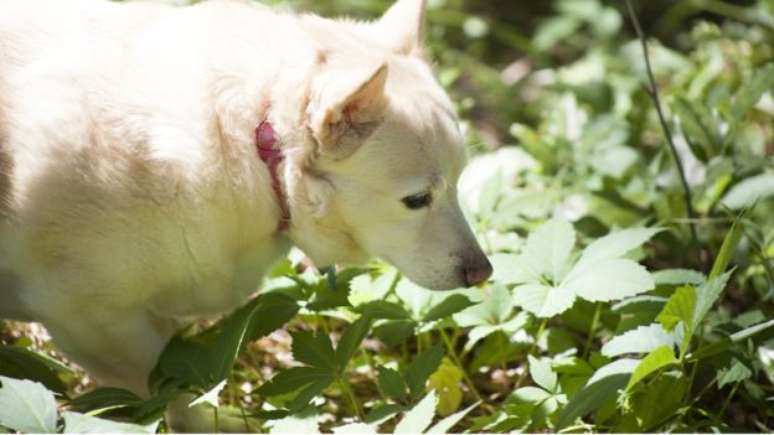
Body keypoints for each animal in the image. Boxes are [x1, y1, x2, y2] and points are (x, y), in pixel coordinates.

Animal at [0, 0, 494, 430]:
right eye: (417, 200)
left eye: (457, 183)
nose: (483, 272)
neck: (255, 141)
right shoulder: (91, 320)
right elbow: (167, 392)